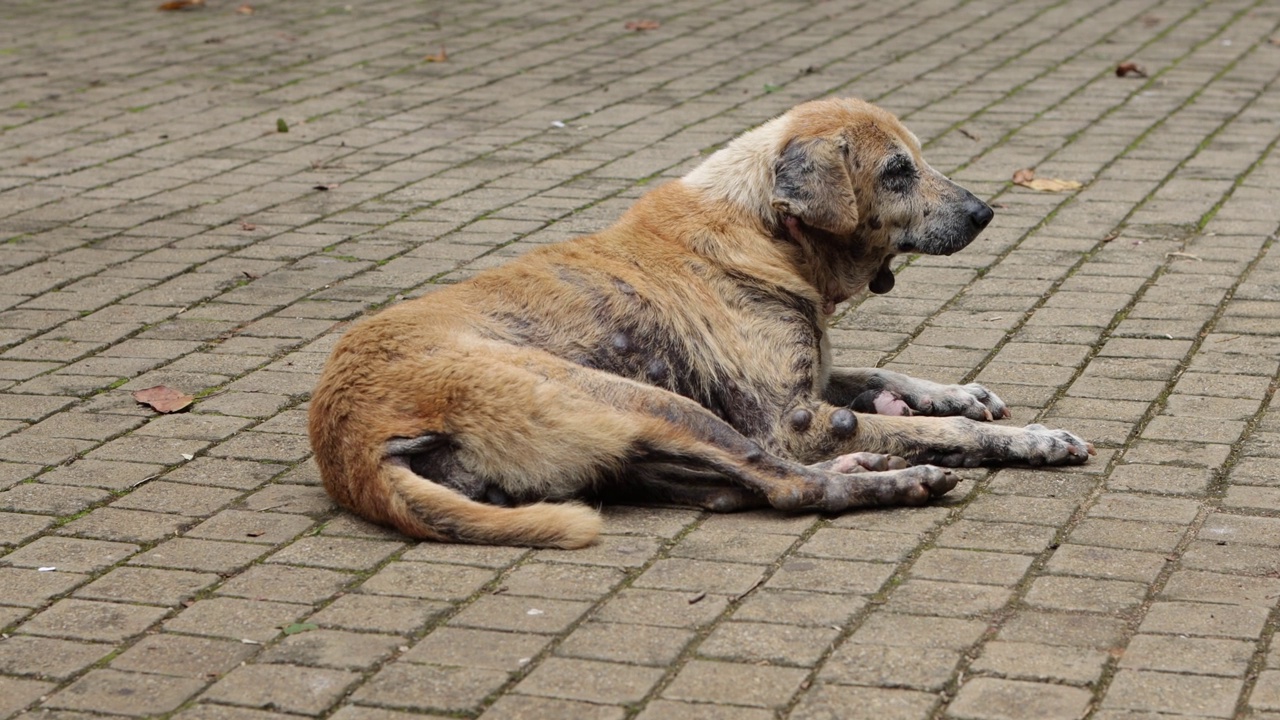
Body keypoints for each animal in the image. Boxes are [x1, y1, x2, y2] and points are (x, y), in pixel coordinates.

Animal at [307, 95, 1090, 543]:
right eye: (898, 171)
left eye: (919, 160)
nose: (985, 213)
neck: (763, 226)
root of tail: (347, 445)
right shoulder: (790, 419)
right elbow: (947, 432)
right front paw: (1031, 439)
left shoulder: (814, 379)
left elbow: (884, 372)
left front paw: (959, 393)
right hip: (649, 403)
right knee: (791, 487)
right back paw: (897, 479)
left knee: (736, 487)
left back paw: (865, 460)